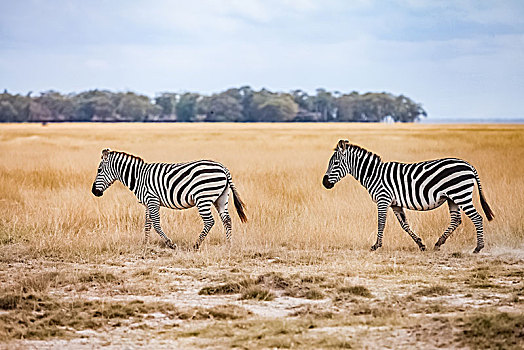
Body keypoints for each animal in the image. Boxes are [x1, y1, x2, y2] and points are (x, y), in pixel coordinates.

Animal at [91, 149, 247, 250]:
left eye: (99, 170)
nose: (94, 191)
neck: (138, 177)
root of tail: (223, 168)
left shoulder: (152, 200)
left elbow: (156, 224)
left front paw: (170, 244)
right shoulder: (147, 203)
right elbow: (147, 224)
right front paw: (145, 244)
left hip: (202, 198)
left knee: (210, 221)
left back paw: (196, 245)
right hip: (221, 198)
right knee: (227, 220)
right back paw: (229, 245)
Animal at [322, 141, 494, 253]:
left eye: (335, 163)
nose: (324, 183)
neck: (374, 174)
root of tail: (469, 165)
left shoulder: (383, 199)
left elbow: (381, 223)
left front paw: (376, 246)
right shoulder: (395, 204)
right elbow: (404, 225)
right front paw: (420, 245)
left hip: (461, 195)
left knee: (477, 217)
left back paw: (478, 247)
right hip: (453, 198)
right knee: (456, 220)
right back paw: (438, 243)